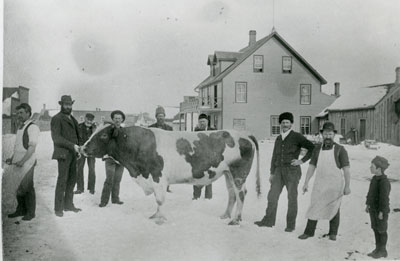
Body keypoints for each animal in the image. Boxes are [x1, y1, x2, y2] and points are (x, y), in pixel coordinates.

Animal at [82, 123, 262, 223]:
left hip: (239, 172)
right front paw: (155, 216)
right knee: (232, 194)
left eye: (103, 135)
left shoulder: (158, 177)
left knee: (241, 193)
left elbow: (160, 200)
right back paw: (226, 215)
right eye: (94, 131)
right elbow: (158, 201)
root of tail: (244, 134)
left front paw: (160, 219)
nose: (82, 147)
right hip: (228, 173)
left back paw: (236, 220)